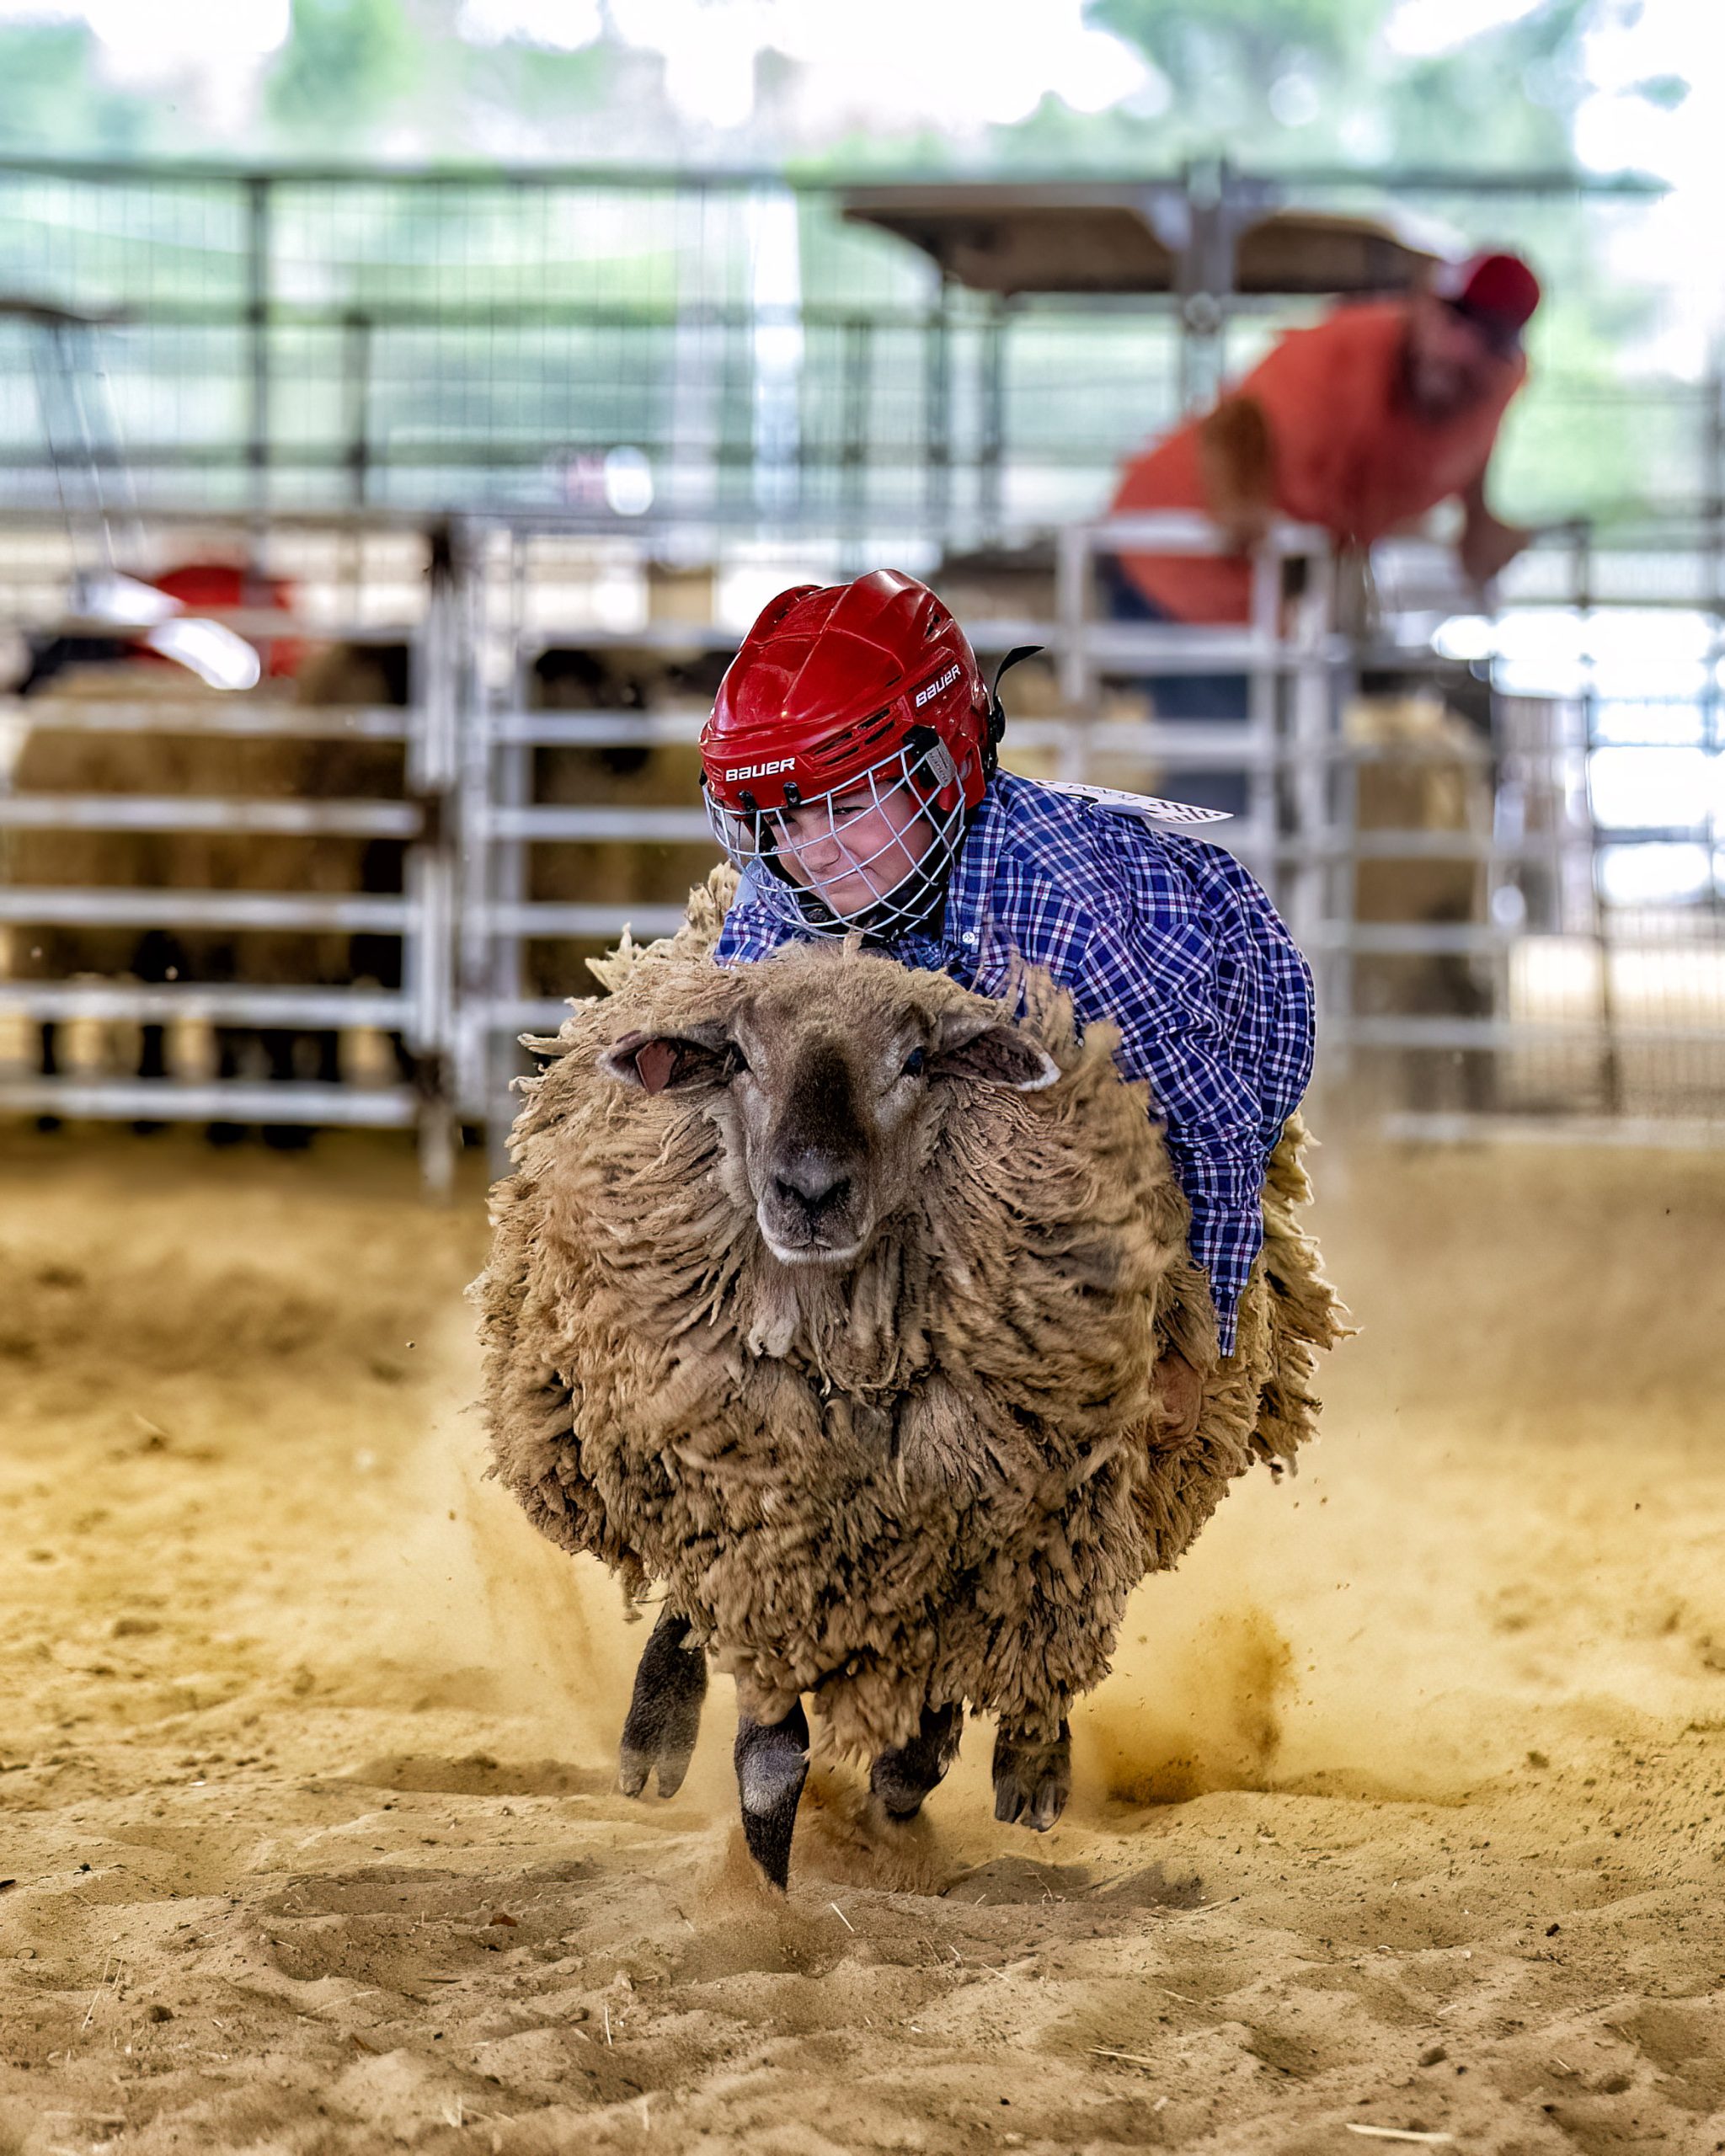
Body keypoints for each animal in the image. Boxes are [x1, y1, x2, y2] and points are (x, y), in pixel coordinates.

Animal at [476, 871, 1344, 1889]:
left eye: (918, 1060)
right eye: (737, 1057)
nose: (809, 1191)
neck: (850, 1351)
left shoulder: (971, 1511)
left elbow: (929, 1713)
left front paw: (893, 1798)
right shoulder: (758, 1498)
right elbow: (770, 1744)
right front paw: (764, 1875)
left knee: (1047, 1624)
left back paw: (1028, 1763)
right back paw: (657, 1737)